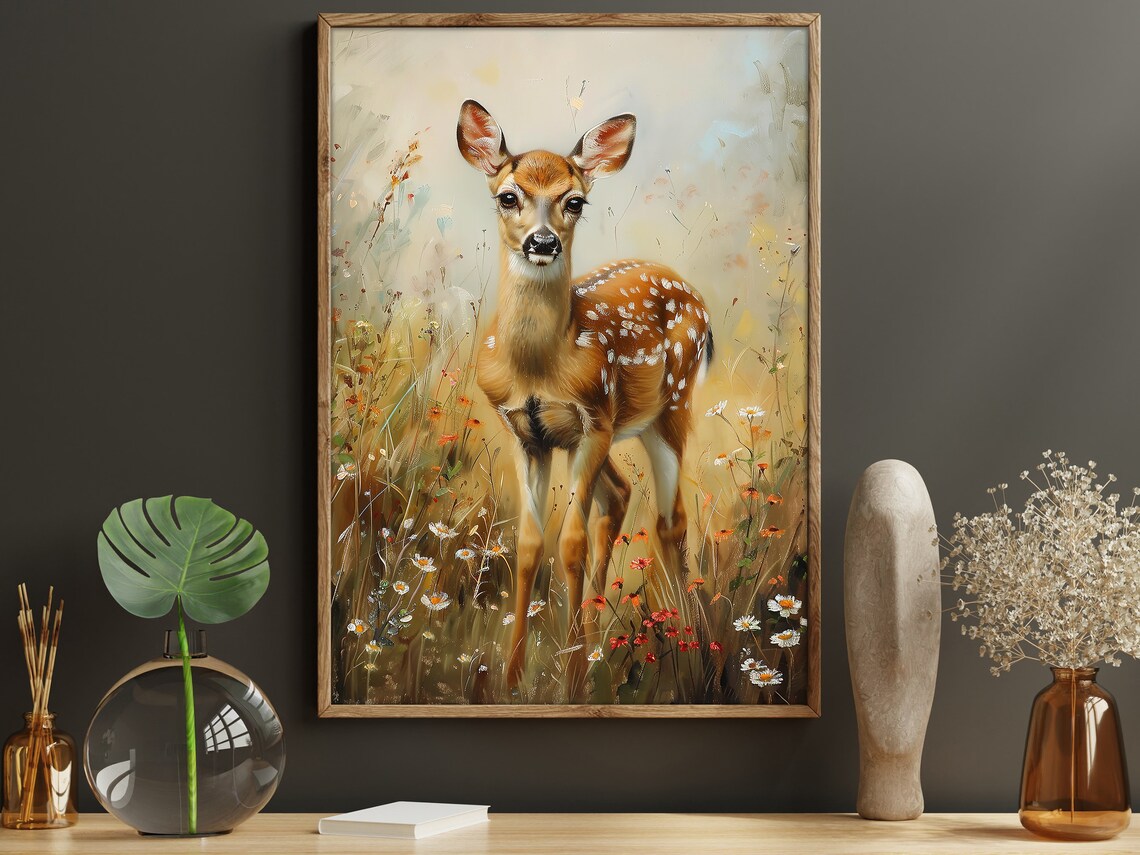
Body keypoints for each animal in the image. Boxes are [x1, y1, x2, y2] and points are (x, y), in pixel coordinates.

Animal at [457, 100, 713, 700]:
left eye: (574, 201)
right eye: (508, 196)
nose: (543, 242)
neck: (540, 366)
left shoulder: (593, 418)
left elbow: (569, 542)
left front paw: (570, 680)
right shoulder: (526, 434)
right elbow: (530, 544)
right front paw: (512, 679)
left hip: (669, 407)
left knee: (670, 519)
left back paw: (687, 652)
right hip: (609, 434)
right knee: (619, 496)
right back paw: (598, 636)